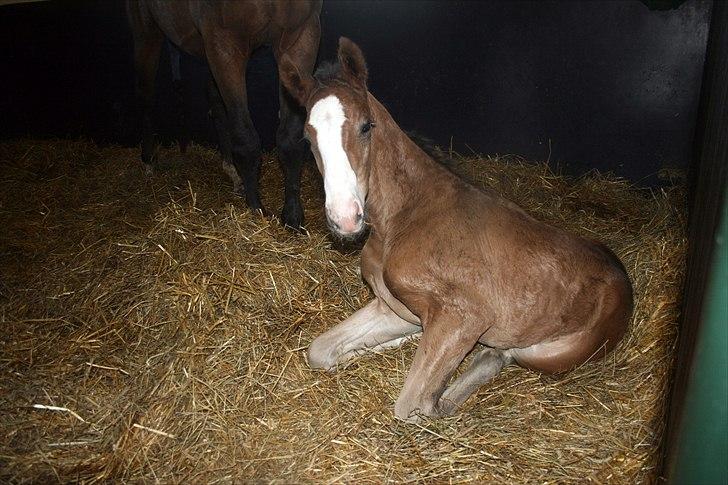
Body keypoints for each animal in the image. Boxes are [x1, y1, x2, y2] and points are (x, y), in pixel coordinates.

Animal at [127, 0, 322, 228]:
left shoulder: (300, 36)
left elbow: (290, 139)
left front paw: (292, 217)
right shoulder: (225, 44)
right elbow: (246, 140)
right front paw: (255, 211)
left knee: (215, 100)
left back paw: (233, 173)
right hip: (147, 32)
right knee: (145, 95)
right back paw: (148, 161)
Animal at [282, 37, 636, 422]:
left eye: (366, 126)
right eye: (307, 138)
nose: (345, 217)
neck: (403, 217)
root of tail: (623, 280)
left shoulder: (466, 314)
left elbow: (415, 405)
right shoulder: (389, 304)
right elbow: (320, 351)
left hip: (550, 353)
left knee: (497, 359)